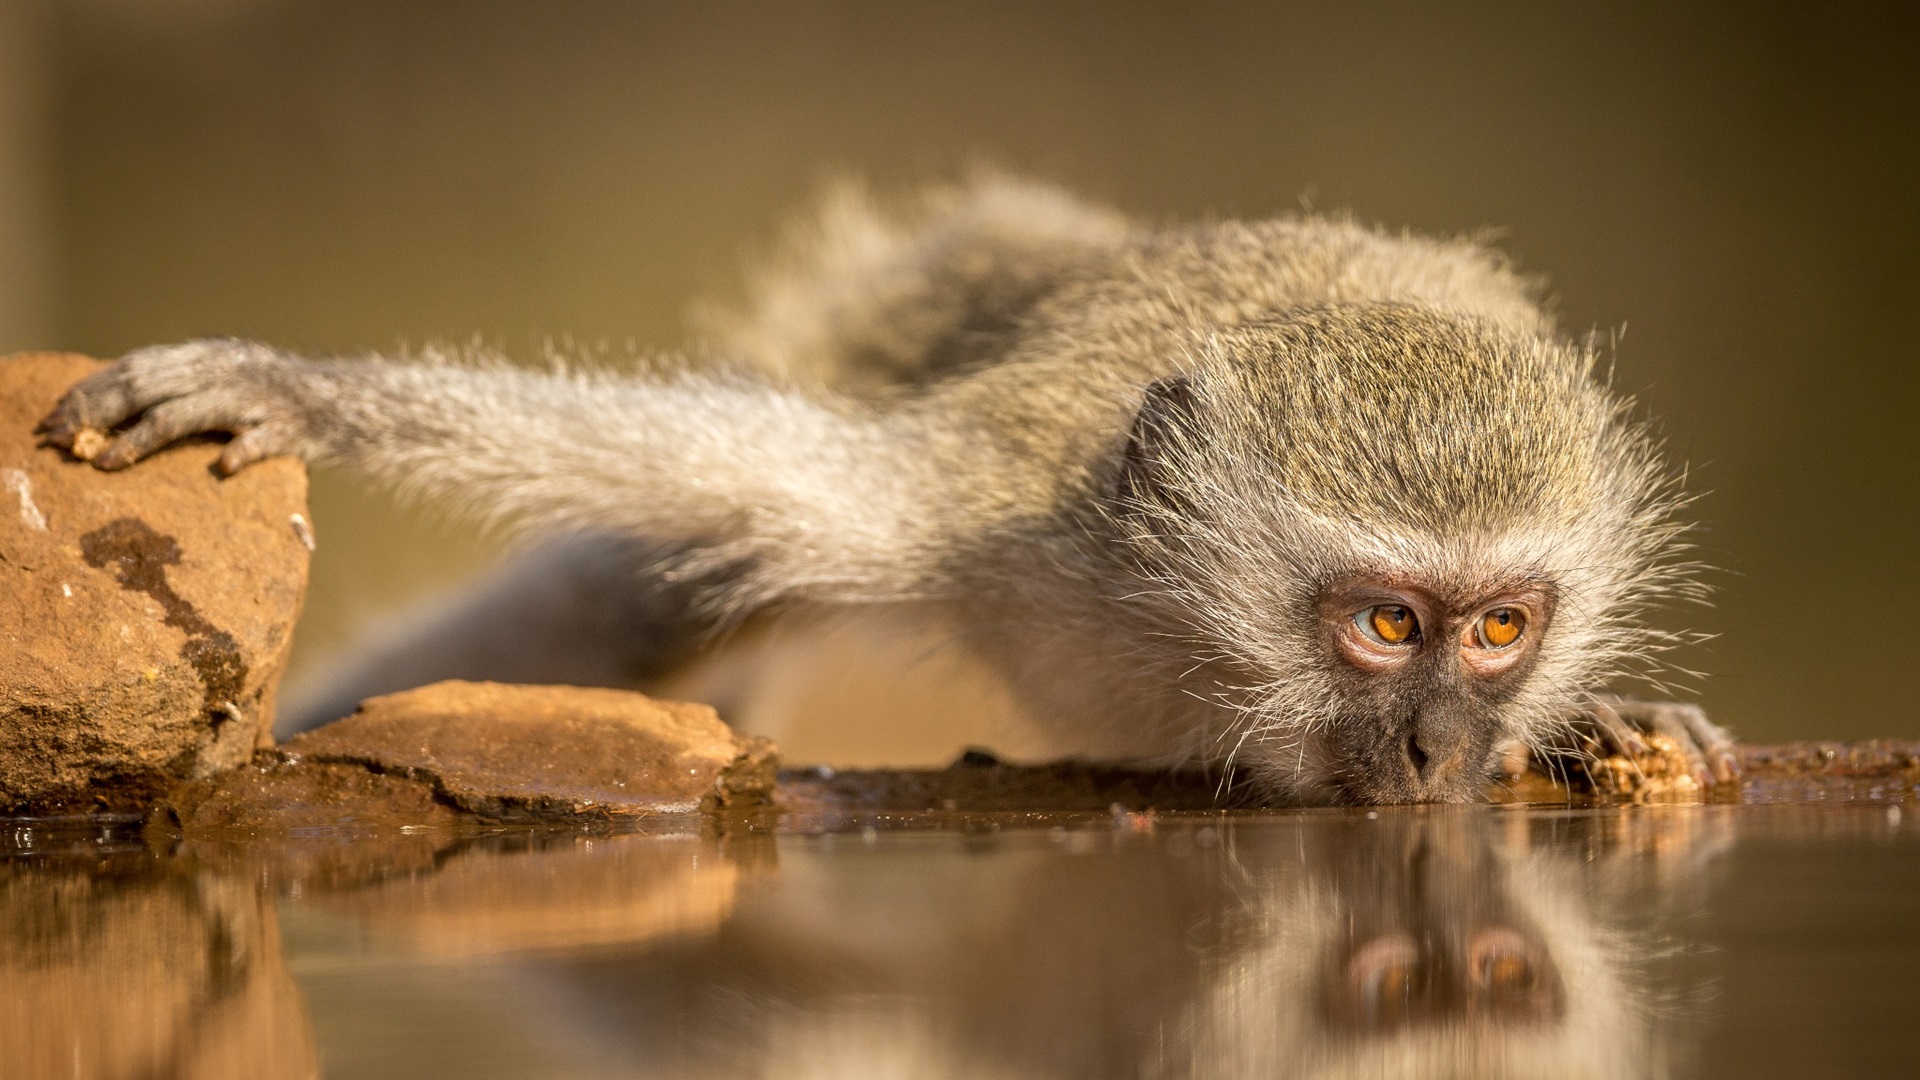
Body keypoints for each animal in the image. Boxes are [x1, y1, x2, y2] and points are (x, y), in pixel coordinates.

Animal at [39, 174, 1737, 804]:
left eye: (1501, 629)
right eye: (1390, 626)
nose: (1446, 746)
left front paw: (1603, 719)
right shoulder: (984, 508)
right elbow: (665, 465)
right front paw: (300, 387)